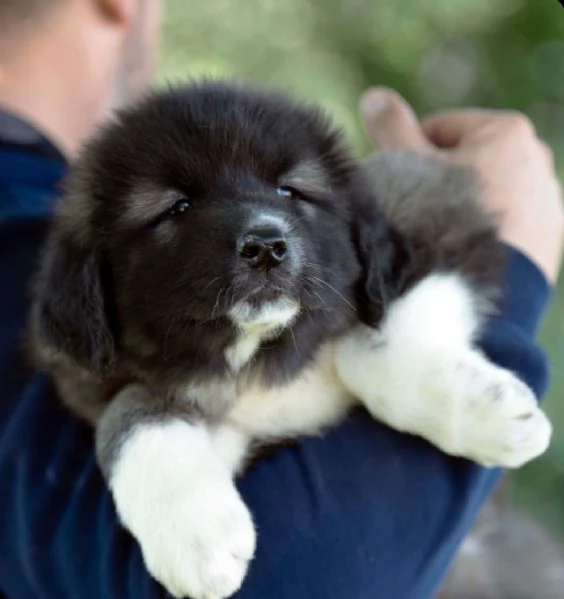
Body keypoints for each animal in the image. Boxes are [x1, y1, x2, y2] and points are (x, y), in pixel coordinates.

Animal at [29, 82, 552, 599]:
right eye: (178, 207)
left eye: (289, 190)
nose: (265, 246)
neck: (256, 355)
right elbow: (129, 408)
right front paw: (196, 533)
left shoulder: (436, 210)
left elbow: (368, 345)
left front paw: (490, 411)